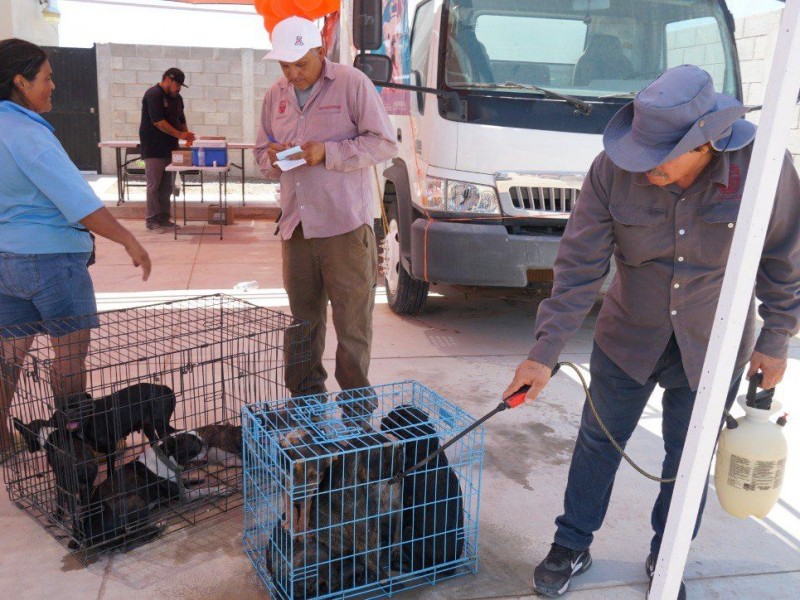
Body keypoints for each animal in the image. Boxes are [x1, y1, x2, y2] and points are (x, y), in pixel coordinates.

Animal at [380, 406, 462, 576]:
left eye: (392, 418)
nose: (382, 420)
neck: (425, 452)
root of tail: (448, 568)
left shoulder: (405, 501)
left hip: (409, 532)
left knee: (418, 567)